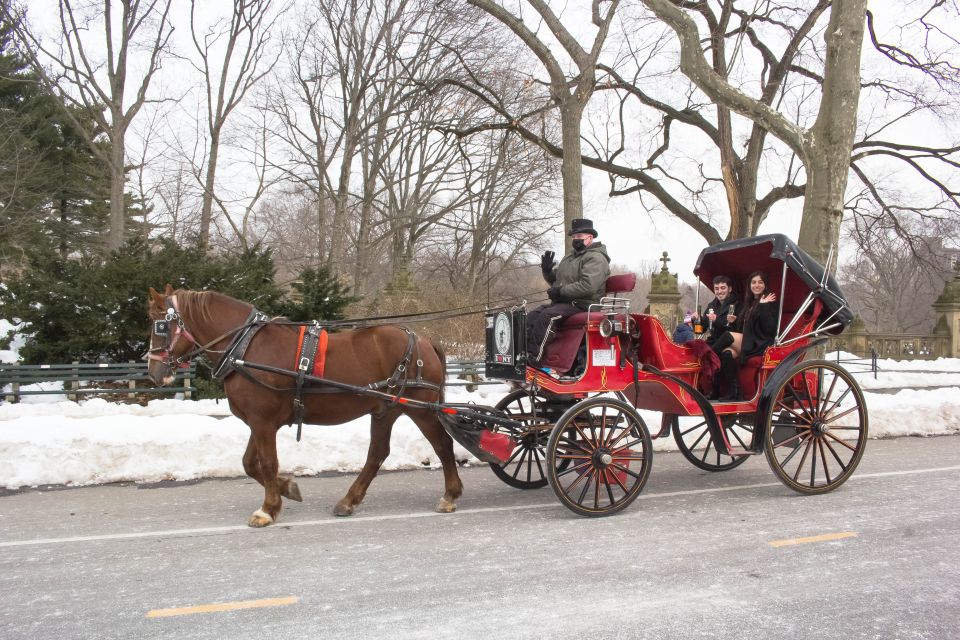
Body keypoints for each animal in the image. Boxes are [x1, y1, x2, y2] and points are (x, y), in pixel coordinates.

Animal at [144, 284, 466, 524]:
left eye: (159, 325)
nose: (154, 372)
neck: (244, 348)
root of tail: (423, 340)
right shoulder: (259, 422)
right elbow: (249, 463)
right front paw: (287, 489)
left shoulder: (262, 421)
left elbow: (268, 463)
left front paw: (267, 509)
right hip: (385, 409)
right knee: (377, 453)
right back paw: (349, 501)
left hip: (419, 408)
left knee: (442, 445)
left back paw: (450, 495)